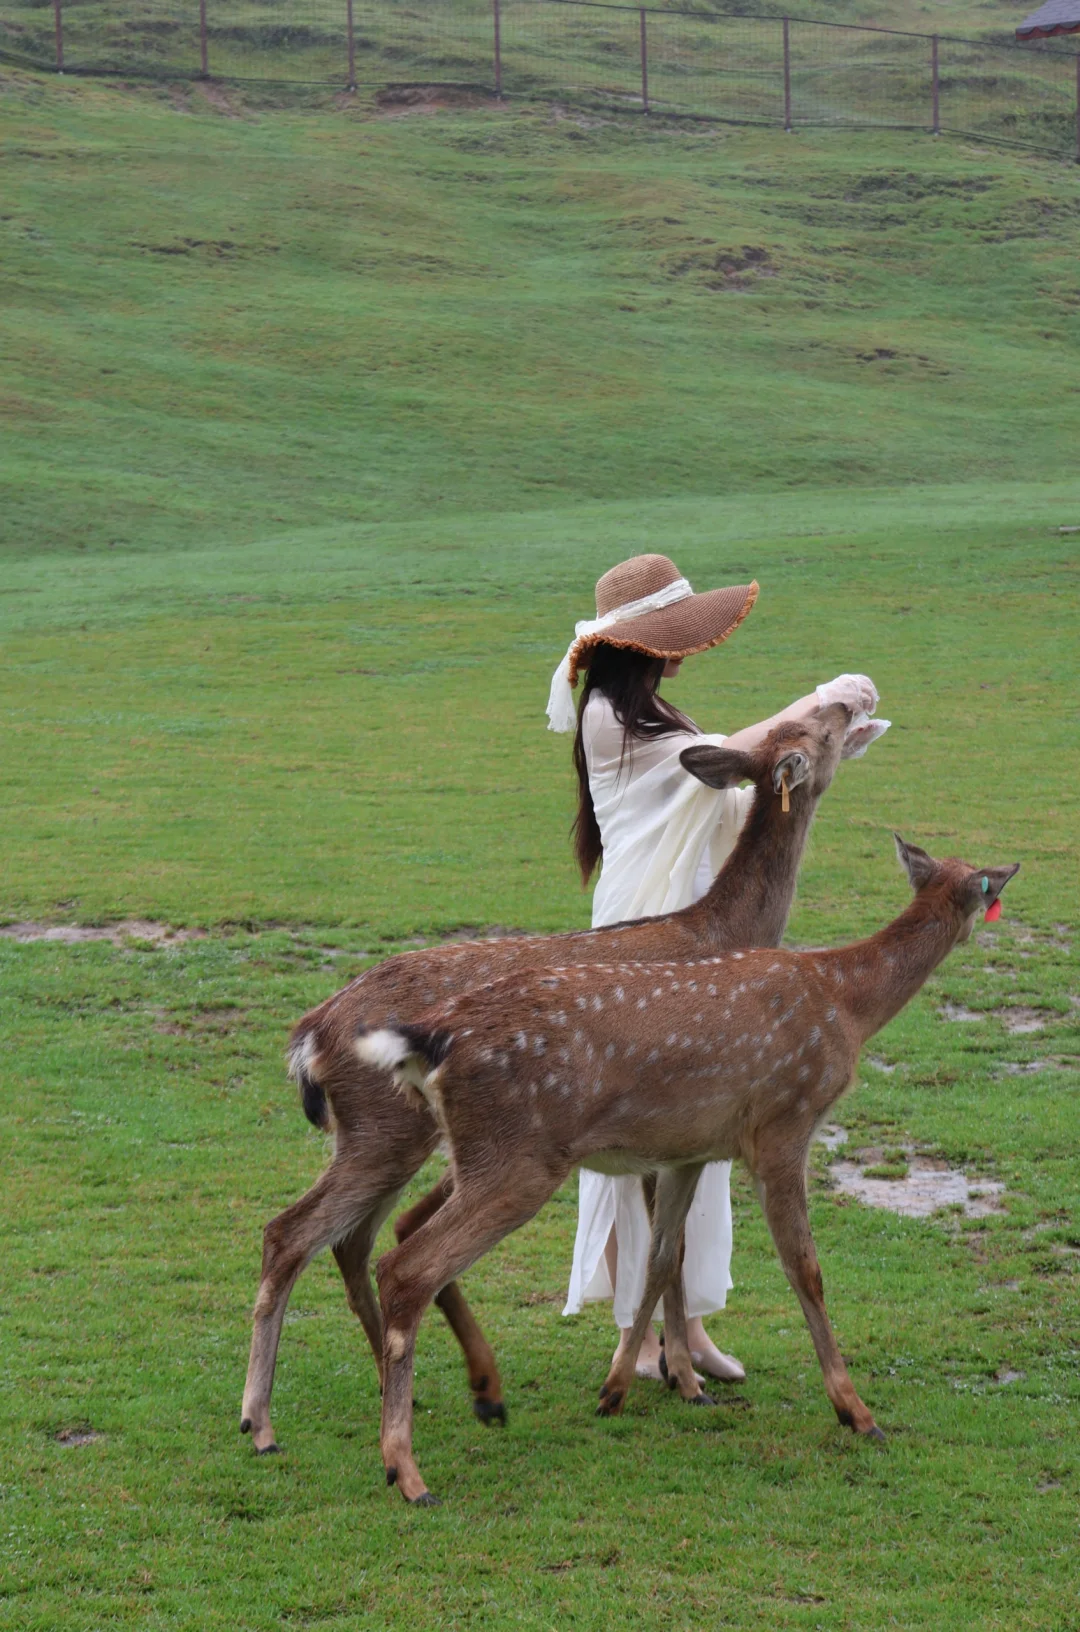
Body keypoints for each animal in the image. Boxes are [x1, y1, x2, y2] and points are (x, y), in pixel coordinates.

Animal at [241, 701, 874, 1455]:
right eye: (821, 727)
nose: (848, 703)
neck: (720, 932)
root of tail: (311, 1031)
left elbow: (664, 1252)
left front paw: (673, 1373)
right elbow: (672, 1253)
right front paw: (684, 1379)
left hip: (384, 1136)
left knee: (352, 1237)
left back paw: (406, 1389)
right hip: (389, 1131)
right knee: (298, 1233)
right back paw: (263, 1420)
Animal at [363, 842, 1024, 1501]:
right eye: (989, 891)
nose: (998, 903)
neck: (845, 1003)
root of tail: (429, 1041)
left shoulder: (692, 1150)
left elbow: (659, 1260)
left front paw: (619, 1391)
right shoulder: (783, 1126)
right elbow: (805, 1269)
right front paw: (856, 1412)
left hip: (485, 1154)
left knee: (400, 1243)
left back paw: (465, 1411)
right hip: (516, 1159)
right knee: (404, 1267)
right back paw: (407, 1469)